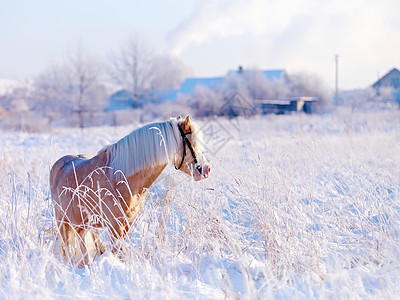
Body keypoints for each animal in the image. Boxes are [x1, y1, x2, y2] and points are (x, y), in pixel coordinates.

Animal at [50, 116, 209, 266]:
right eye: (191, 142)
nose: (206, 170)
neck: (121, 177)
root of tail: (59, 164)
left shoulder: (128, 223)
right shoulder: (115, 226)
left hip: (82, 224)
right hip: (62, 221)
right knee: (67, 247)